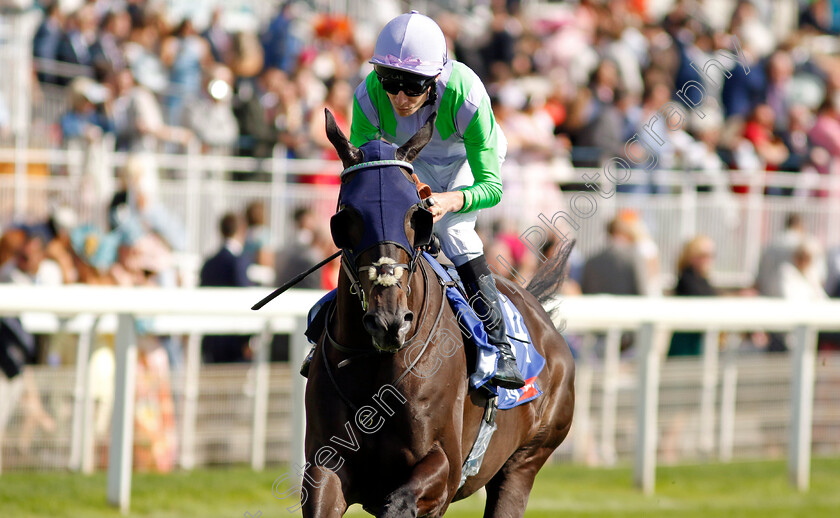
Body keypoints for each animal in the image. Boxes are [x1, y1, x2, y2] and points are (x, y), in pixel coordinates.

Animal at [304, 110, 576, 518]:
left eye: (416, 216)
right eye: (347, 217)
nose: (388, 322)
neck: (375, 362)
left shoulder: (443, 470)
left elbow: (401, 500)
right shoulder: (324, 465)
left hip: (525, 462)